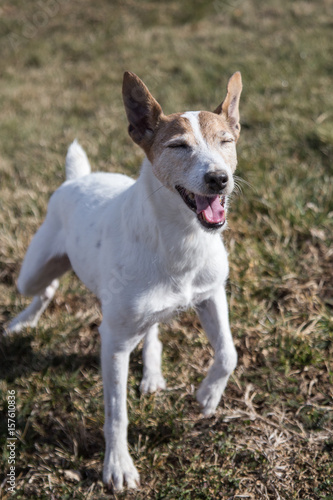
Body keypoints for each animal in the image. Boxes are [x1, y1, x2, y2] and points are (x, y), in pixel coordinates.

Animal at [7, 72, 241, 490]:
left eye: (226, 141)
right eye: (178, 146)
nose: (219, 179)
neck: (180, 238)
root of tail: (79, 178)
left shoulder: (211, 294)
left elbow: (228, 353)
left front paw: (208, 397)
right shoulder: (114, 342)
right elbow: (117, 412)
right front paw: (117, 465)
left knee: (152, 330)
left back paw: (152, 371)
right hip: (31, 274)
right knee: (44, 288)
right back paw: (23, 321)